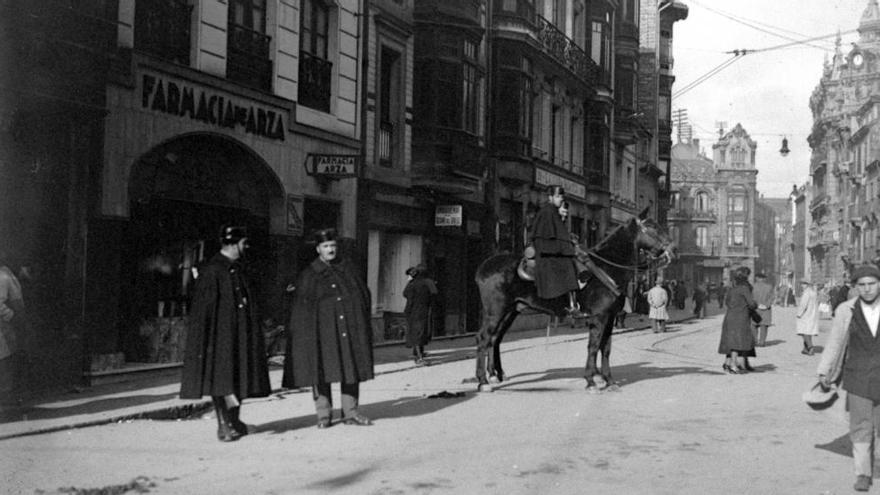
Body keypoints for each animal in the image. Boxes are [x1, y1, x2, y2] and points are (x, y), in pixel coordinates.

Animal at [474, 211, 672, 394]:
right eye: (652, 227)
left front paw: (609, 381)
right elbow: (593, 346)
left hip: (510, 311)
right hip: (496, 311)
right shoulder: (598, 317)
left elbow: (606, 348)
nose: (672, 248)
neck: (607, 268)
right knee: (484, 338)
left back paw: (495, 375)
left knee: (494, 339)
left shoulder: (609, 318)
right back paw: (483, 381)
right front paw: (591, 381)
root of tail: (483, 268)